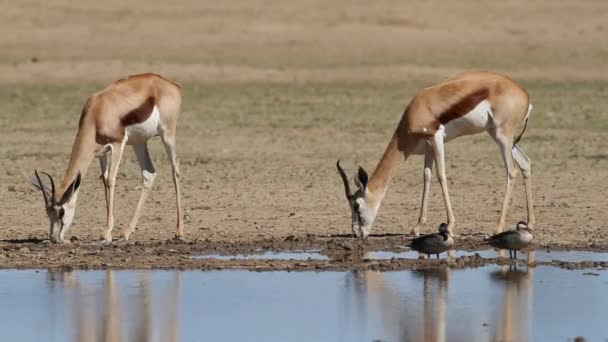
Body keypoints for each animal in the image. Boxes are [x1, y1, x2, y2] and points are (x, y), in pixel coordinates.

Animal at [27, 73, 183, 242]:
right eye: (48, 213)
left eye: (61, 212)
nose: (54, 238)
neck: (97, 113)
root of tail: (171, 84)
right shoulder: (101, 153)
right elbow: (104, 179)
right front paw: (108, 232)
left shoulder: (117, 145)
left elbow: (111, 181)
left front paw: (106, 233)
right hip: (139, 142)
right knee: (149, 174)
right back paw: (127, 232)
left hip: (167, 134)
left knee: (175, 170)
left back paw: (179, 231)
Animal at [340, 71, 536, 239]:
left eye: (356, 205)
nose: (357, 234)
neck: (417, 111)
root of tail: (525, 95)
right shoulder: (428, 147)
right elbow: (427, 177)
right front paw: (417, 227)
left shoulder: (436, 138)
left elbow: (441, 176)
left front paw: (449, 226)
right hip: (501, 137)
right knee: (525, 163)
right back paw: (530, 223)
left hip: (502, 137)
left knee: (511, 171)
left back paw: (498, 227)